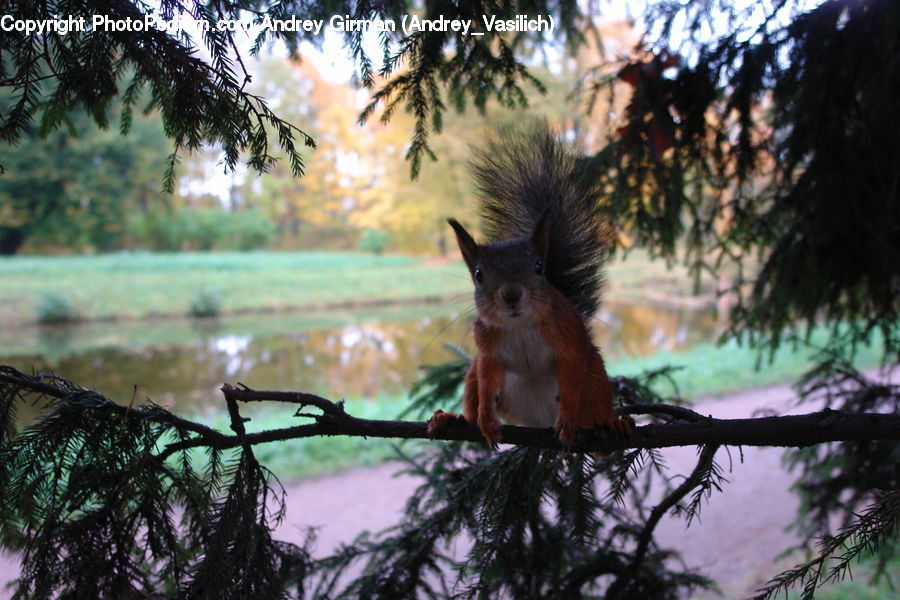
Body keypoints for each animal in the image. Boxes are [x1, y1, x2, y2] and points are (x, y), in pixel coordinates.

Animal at [428, 122, 633, 448]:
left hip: (595, 376)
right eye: (478, 274)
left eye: (539, 267)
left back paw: (612, 423)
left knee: (594, 406)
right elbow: (486, 382)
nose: (511, 295)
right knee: (474, 393)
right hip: (472, 376)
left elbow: (570, 382)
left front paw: (569, 419)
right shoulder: (487, 349)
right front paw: (485, 418)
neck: (520, 325)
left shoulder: (568, 341)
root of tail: (537, 420)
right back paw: (454, 418)